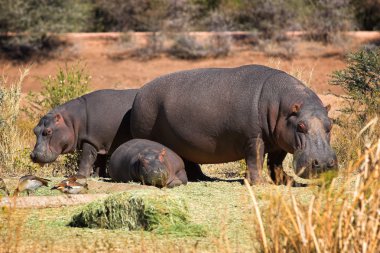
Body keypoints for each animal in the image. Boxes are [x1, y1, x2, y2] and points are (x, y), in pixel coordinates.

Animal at [131, 64, 338, 185]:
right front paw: (259, 184)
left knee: (189, 161)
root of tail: (140, 92)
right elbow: (255, 160)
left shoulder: (279, 142)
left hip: (184, 143)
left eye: (330, 125)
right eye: (301, 126)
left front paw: (286, 181)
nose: (324, 163)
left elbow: (275, 164)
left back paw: (202, 178)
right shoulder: (254, 138)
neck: (282, 107)